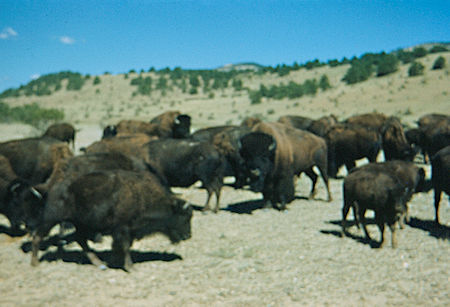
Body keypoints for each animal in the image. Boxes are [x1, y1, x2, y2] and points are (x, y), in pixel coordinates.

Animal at [25, 170, 192, 274]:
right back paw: (35, 263)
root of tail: (52, 187)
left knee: (81, 241)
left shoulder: (127, 231)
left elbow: (120, 247)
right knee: (37, 236)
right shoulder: (122, 228)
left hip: (80, 224)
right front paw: (130, 267)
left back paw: (99, 263)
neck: (141, 196)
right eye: (184, 216)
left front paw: (113, 261)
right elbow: (125, 247)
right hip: (51, 220)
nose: (188, 236)